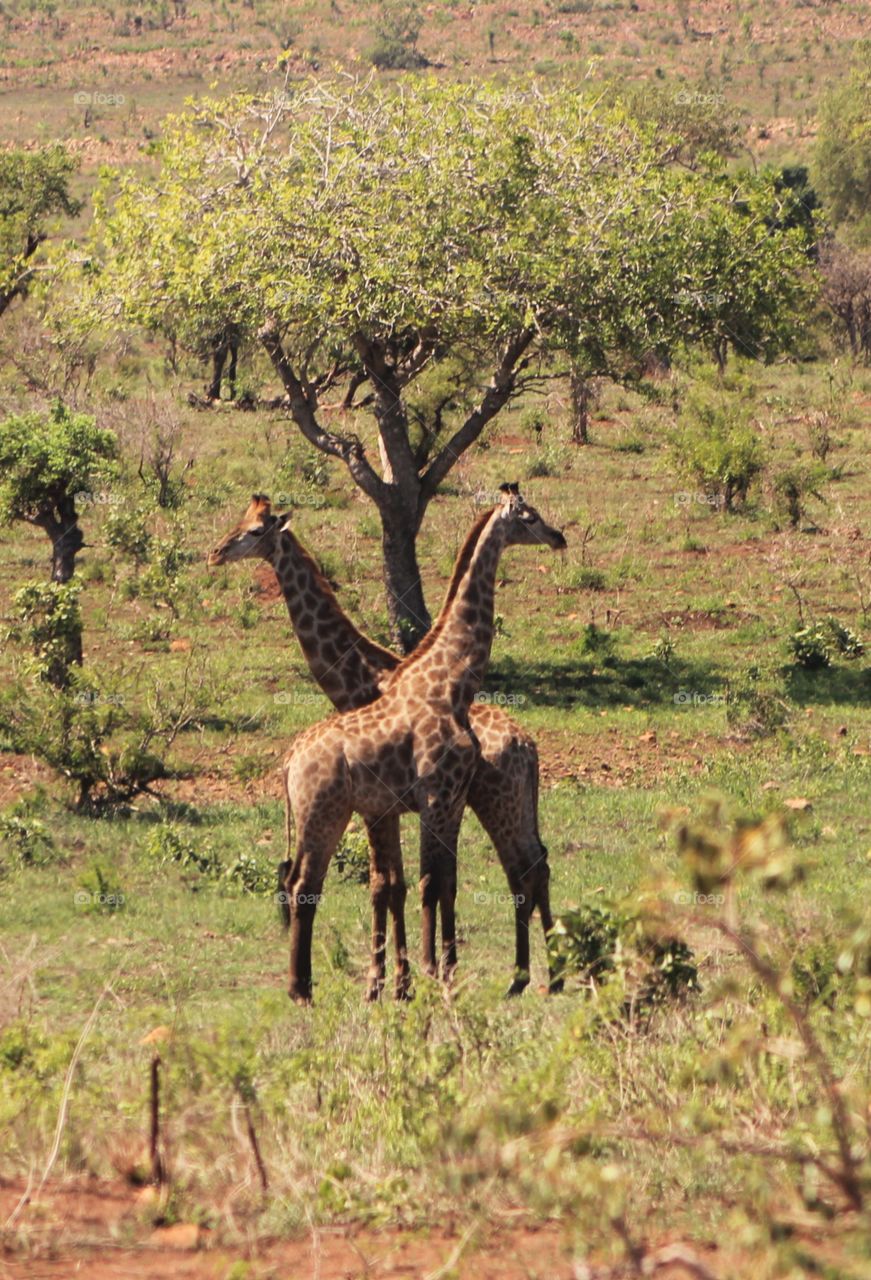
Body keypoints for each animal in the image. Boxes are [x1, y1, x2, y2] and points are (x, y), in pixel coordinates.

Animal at [208, 488, 568, 998]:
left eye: (255, 530)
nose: (216, 552)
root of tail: (528, 744)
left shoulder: (421, 803)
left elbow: (413, 883)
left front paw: (411, 977)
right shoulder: (404, 806)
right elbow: (401, 884)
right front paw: (403, 979)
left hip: (498, 800)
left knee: (527, 867)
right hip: (488, 802)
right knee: (527, 866)